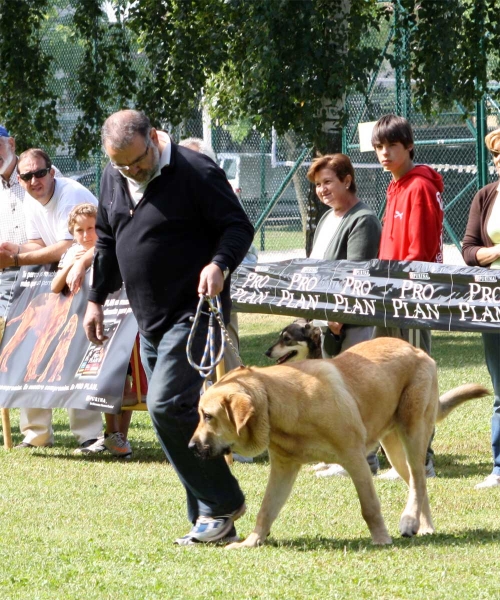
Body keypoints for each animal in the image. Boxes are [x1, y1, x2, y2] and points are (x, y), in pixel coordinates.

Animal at [190, 338, 488, 548]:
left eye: (208, 416)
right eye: (200, 415)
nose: (191, 447)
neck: (278, 403)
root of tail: (418, 350)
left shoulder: (354, 458)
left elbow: (369, 507)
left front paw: (381, 540)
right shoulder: (283, 467)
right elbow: (266, 509)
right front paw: (252, 541)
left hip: (413, 431)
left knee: (419, 480)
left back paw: (409, 521)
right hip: (394, 448)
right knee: (418, 482)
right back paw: (422, 525)